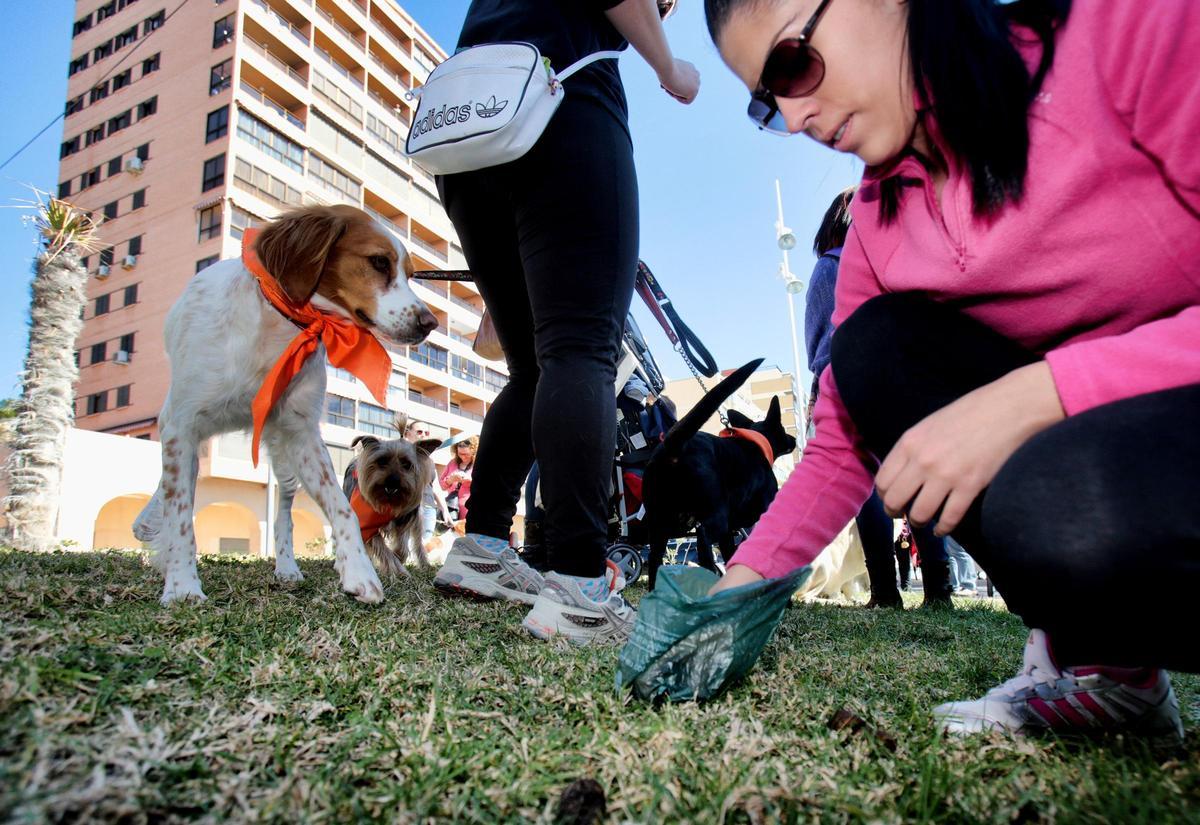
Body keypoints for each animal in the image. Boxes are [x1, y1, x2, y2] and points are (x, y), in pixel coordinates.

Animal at [136, 205, 436, 606]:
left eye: (411, 274)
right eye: (378, 262)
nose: (430, 323)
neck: (279, 322)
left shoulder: (302, 434)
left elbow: (341, 508)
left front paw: (359, 573)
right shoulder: (180, 424)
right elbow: (181, 510)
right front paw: (182, 585)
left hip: (282, 456)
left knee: (283, 512)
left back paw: (287, 567)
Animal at [638, 357, 796, 589]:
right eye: (783, 430)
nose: (793, 440)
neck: (758, 443)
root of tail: (671, 447)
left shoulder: (729, 533)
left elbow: (731, 555)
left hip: (660, 523)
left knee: (654, 560)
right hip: (713, 516)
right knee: (703, 542)